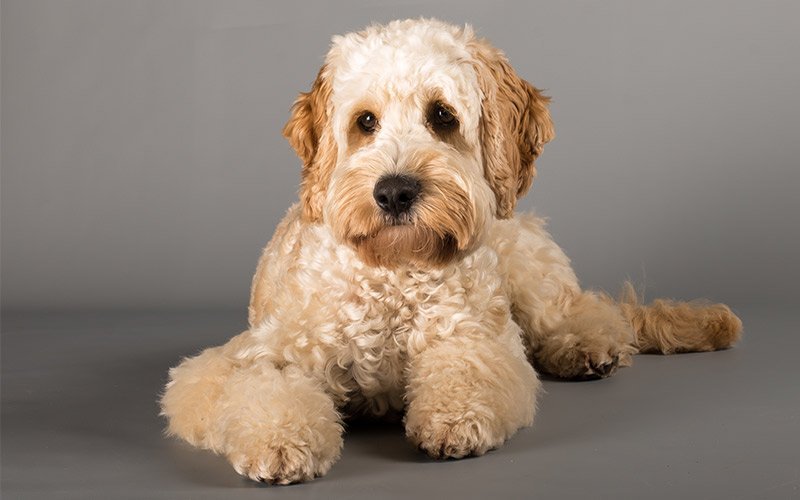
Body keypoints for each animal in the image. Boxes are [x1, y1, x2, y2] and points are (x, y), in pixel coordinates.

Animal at [159, 19, 740, 484]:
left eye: (441, 116)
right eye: (365, 121)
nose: (394, 192)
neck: (393, 272)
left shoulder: (476, 338)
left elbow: (469, 370)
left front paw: (452, 421)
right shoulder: (255, 356)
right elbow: (265, 389)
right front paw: (280, 441)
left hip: (529, 273)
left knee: (588, 311)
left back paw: (587, 347)